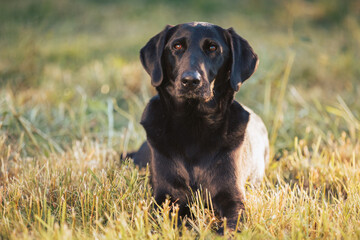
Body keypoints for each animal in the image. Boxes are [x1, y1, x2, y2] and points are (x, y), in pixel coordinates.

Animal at [131, 22, 268, 231]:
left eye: (212, 48)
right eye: (177, 46)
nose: (190, 81)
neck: (193, 123)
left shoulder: (233, 197)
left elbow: (230, 227)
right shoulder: (164, 198)